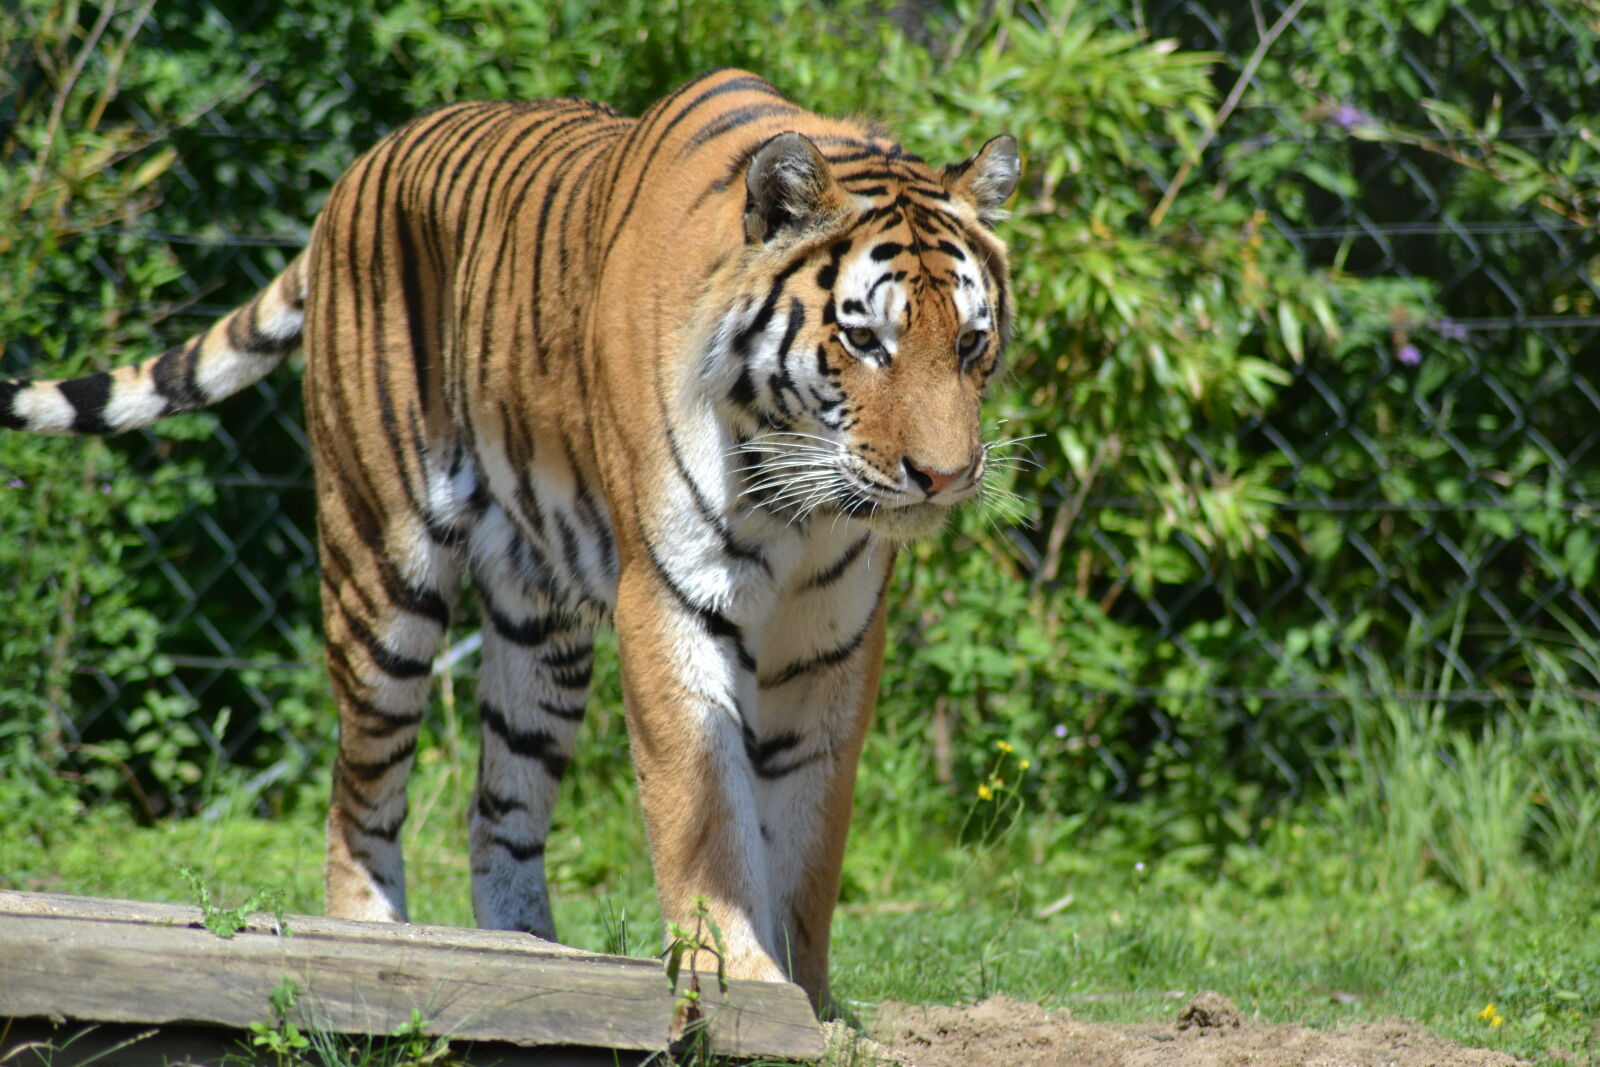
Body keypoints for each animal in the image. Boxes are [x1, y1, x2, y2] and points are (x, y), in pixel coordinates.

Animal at [0, 69, 1019, 1010]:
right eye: (866, 341)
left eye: (970, 344)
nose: (942, 476)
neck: (796, 497)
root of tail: (362, 165)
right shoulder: (670, 599)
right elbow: (708, 813)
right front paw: (743, 974)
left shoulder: (833, 633)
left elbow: (808, 837)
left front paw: (813, 1003)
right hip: (382, 571)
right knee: (359, 793)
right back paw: (376, 936)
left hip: (540, 623)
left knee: (499, 810)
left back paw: (531, 955)